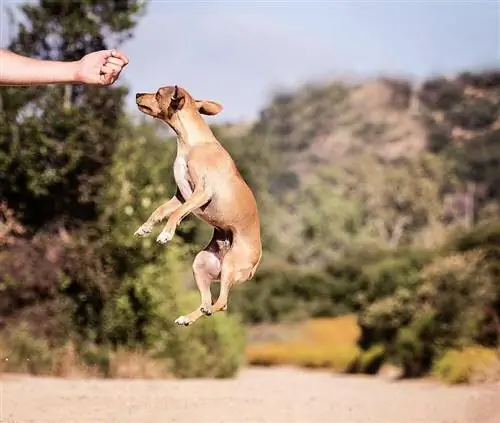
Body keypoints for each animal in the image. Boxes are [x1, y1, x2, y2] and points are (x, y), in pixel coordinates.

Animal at [135, 84, 264, 326]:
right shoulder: (181, 196)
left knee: (221, 304)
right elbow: (160, 211)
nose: (137, 94)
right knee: (208, 302)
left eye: (158, 93)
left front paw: (165, 234)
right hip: (201, 265)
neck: (191, 143)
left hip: (231, 264)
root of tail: (256, 262)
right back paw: (188, 317)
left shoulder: (201, 193)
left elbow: (176, 214)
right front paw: (145, 228)